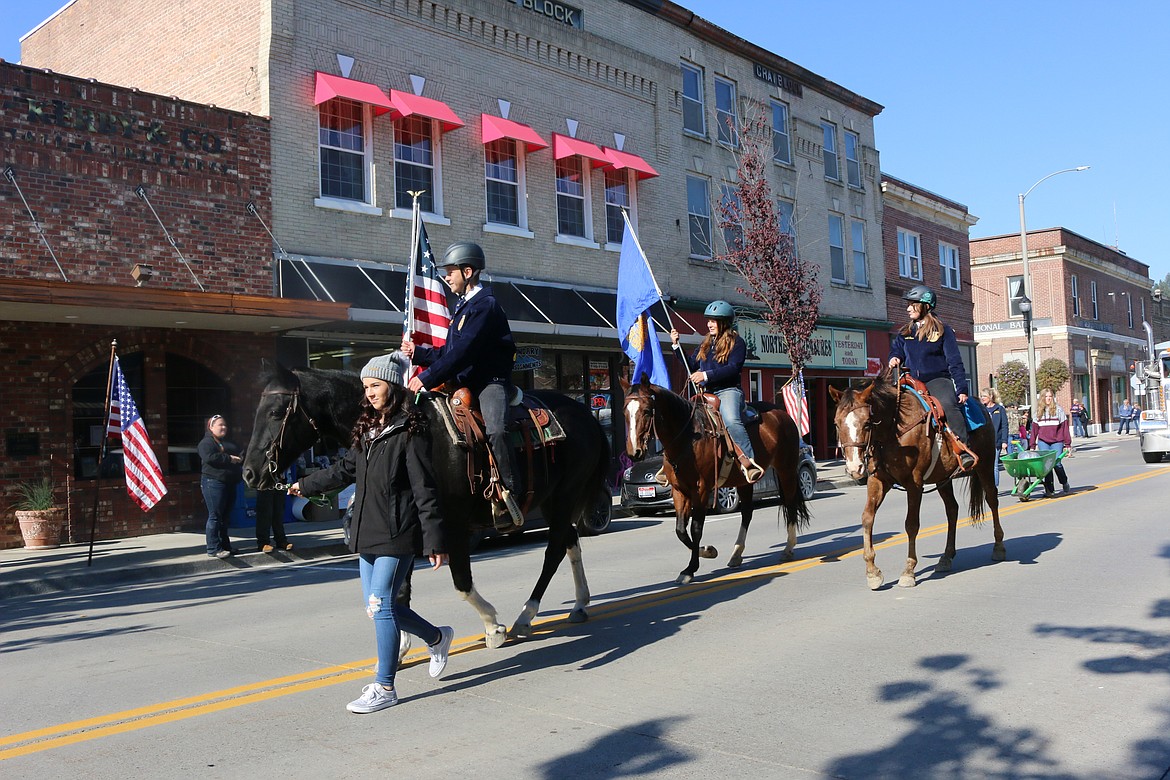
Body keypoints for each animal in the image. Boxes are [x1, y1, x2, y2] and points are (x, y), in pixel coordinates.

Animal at [242, 367, 608, 645]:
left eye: (275, 413)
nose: (249, 472)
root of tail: (585, 414)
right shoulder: (406, 532)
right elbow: (397, 593)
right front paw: (401, 647)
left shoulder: (453, 526)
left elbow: (461, 581)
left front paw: (493, 626)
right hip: (553, 500)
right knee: (569, 540)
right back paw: (579, 604)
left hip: (565, 495)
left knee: (553, 550)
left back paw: (524, 617)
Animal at [622, 378, 814, 584]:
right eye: (625, 412)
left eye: (647, 411)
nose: (634, 452)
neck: (688, 437)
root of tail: (783, 414)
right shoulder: (679, 490)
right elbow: (681, 530)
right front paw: (706, 551)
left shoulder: (701, 490)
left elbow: (696, 528)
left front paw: (691, 568)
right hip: (745, 482)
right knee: (747, 513)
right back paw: (737, 553)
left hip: (786, 470)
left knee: (790, 504)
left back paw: (788, 548)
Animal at [823, 369, 1006, 589]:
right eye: (836, 423)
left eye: (867, 424)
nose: (854, 468)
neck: (893, 431)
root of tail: (982, 405)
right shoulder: (878, 481)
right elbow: (867, 518)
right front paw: (872, 572)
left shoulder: (914, 484)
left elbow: (911, 524)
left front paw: (908, 570)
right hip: (943, 477)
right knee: (952, 510)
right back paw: (946, 557)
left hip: (985, 465)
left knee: (992, 499)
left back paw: (998, 547)